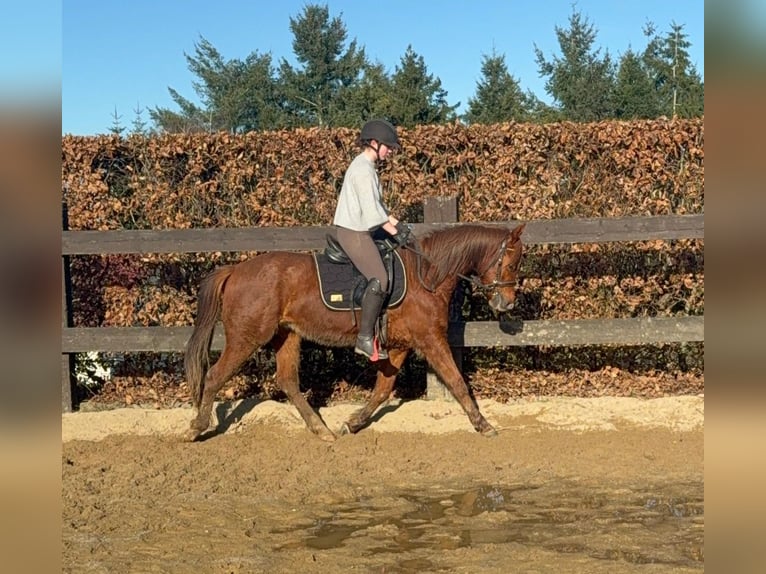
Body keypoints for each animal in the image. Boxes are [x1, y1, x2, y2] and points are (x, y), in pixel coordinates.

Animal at [184, 223, 525, 442]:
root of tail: (234, 270)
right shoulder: (430, 339)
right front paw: (484, 425)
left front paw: (354, 423)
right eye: (511, 263)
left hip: (287, 335)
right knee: (214, 376)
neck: (425, 276)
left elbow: (382, 390)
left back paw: (322, 431)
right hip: (247, 337)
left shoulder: (400, 345)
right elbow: (457, 382)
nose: (508, 303)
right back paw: (196, 428)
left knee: (288, 381)